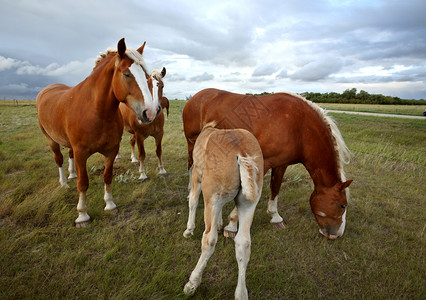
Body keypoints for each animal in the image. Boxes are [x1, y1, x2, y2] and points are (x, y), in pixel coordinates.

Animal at [36, 38, 160, 227]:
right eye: (127, 74)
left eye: (145, 75)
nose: (150, 113)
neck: (96, 111)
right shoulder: (81, 153)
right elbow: (83, 183)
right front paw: (82, 215)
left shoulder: (111, 151)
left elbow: (107, 176)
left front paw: (110, 205)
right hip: (51, 139)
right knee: (59, 160)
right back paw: (64, 182)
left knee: (69, 155)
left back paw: (71, 174)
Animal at [183, 88, 352, 239]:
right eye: (342, 205)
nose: (337, 234)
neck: (300, 127)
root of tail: (195, 96)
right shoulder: (262, 163)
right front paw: (231, 225)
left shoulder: (281, 164)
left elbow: (275, 187)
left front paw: (275, 216)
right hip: (192, 143)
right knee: (191, 165)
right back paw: (190, 191)